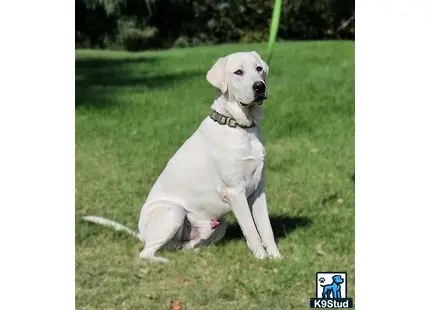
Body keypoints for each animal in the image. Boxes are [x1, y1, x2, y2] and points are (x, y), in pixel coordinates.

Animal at [84, 50, 282, 262]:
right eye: (238, 72)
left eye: (259, 69)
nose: (259, 86)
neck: (240, 127)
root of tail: (142, 234)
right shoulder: (235, 191)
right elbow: (251, 230)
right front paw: (261, 259)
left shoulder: (258, 190)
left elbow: (266, 228)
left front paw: (276, 258)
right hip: (174, 211)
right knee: (146, 252)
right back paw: (163, 261)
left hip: (219, 224)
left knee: (182, 246)